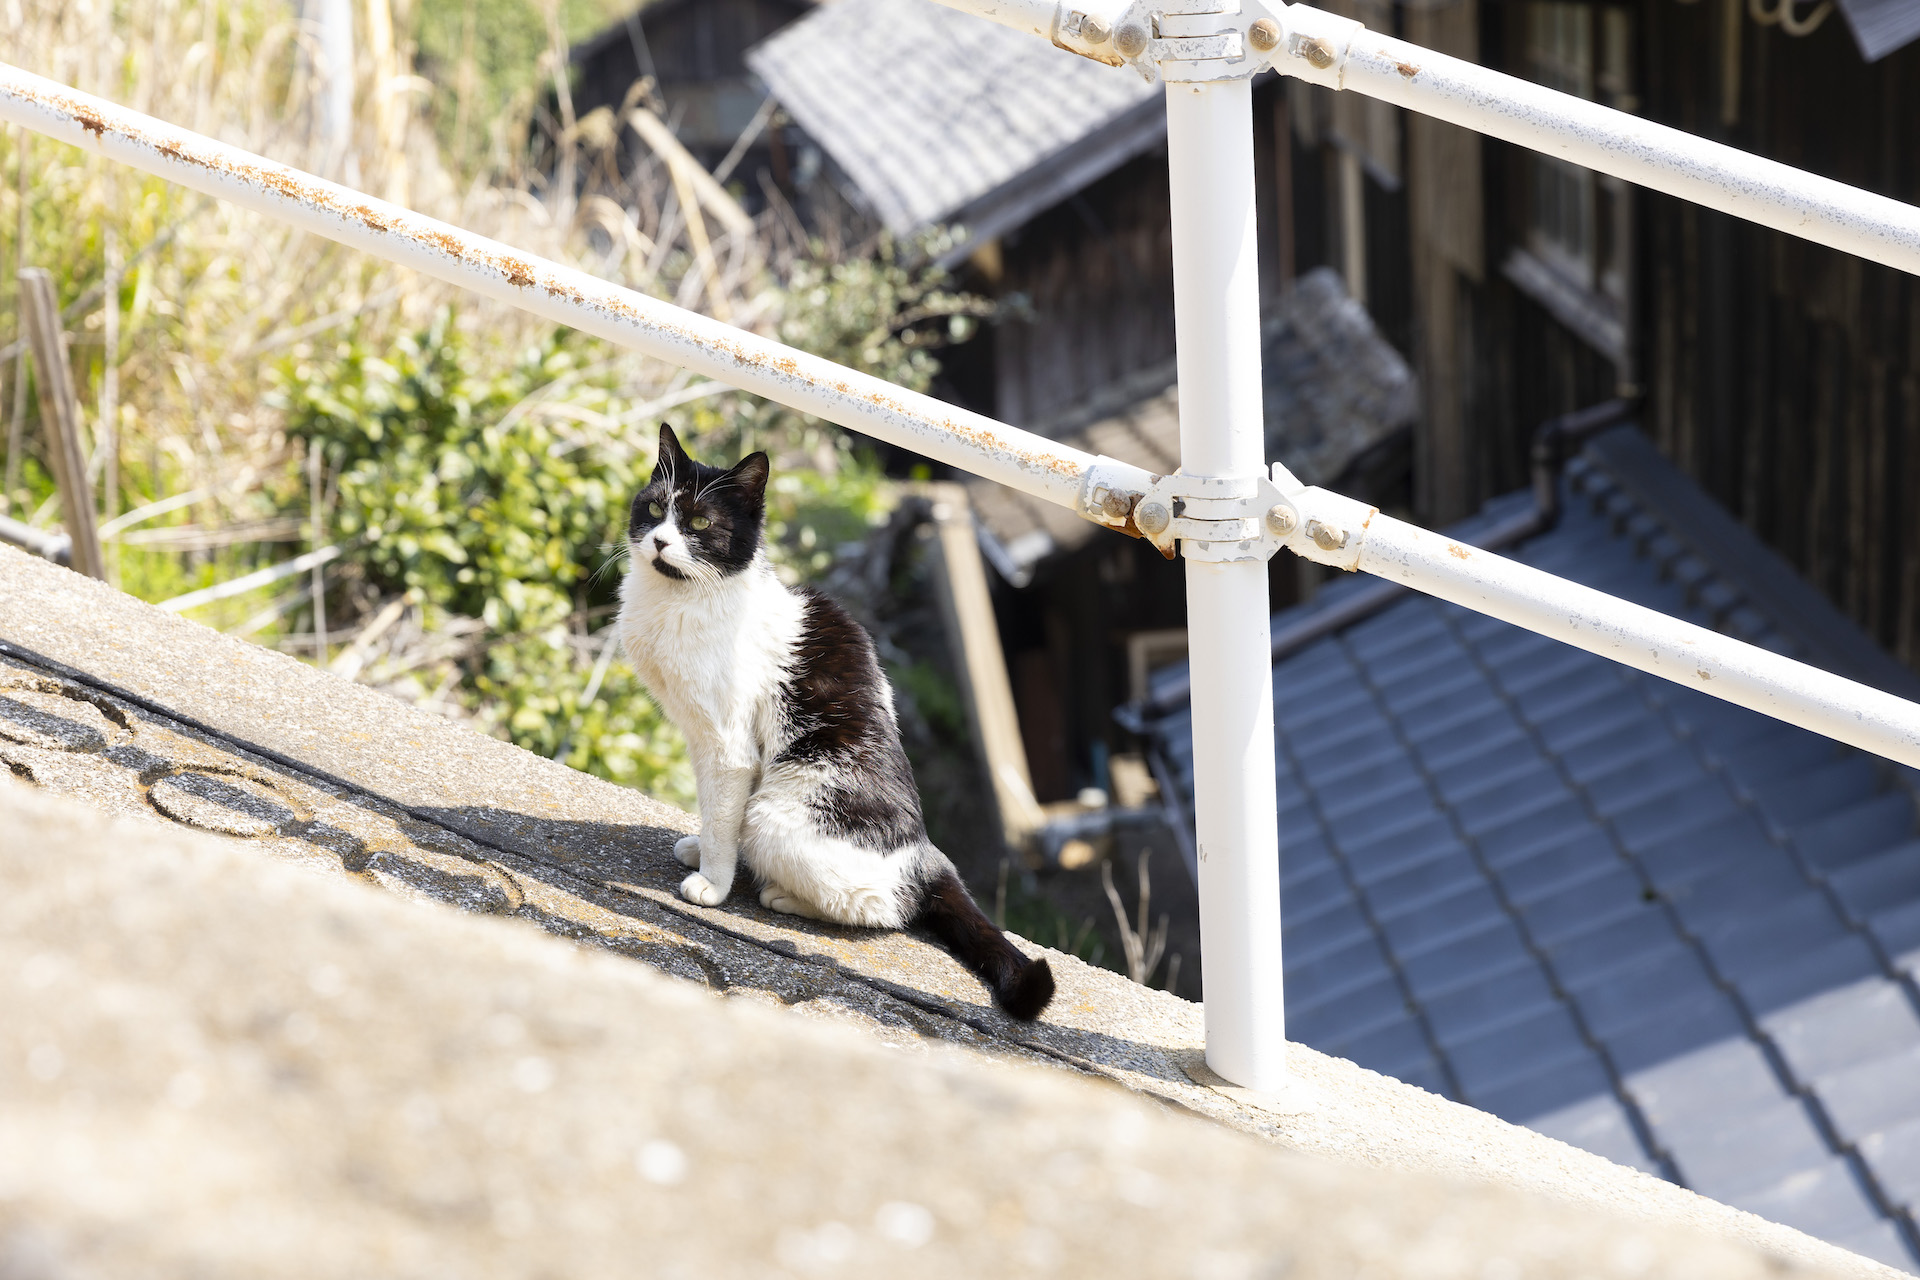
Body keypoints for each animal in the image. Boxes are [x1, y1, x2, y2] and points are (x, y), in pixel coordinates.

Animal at [614, 427, 1059, 1020]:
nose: (660, 542)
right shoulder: (699, 737)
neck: (681, 596)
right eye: (655, 507)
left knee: (884, 908)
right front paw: (701, 846)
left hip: (774, 815)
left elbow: (723, 814)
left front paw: (712, 882)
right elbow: (712, 811)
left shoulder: (728, 745)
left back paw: (781, 893)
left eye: (701, 523)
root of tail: (927, 855)